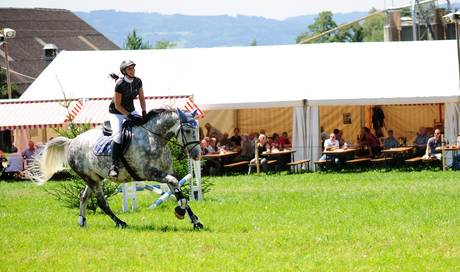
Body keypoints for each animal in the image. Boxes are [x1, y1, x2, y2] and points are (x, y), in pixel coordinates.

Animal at [27, 108, 202, 230]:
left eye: (197, 130)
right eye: (187, 130)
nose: (196, 154)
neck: (154, 138)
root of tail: (72, 142)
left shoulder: (166, 173)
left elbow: (179, 191)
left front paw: (195, 221)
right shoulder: (150, 173)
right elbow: (176, 187)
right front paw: (180, 212)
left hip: (94, 178)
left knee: (83, 196)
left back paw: (82, 221)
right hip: (92, 179)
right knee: (101, 202)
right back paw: (120, 223)